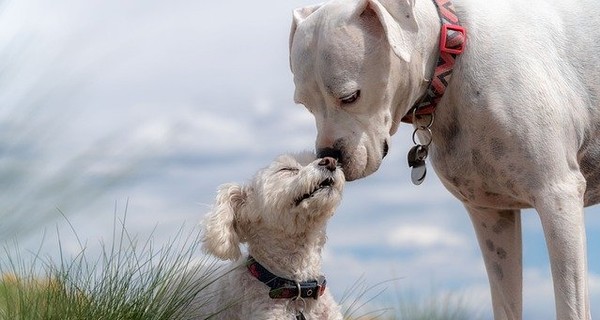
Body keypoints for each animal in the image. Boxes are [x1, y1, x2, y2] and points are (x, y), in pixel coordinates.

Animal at [290, 0, 600, 320]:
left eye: (350, 96)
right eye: (305, 105)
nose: (328, 156)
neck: (451, 57)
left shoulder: (557, 197)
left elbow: (571, 305)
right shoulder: (492, 216)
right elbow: (505, 303)